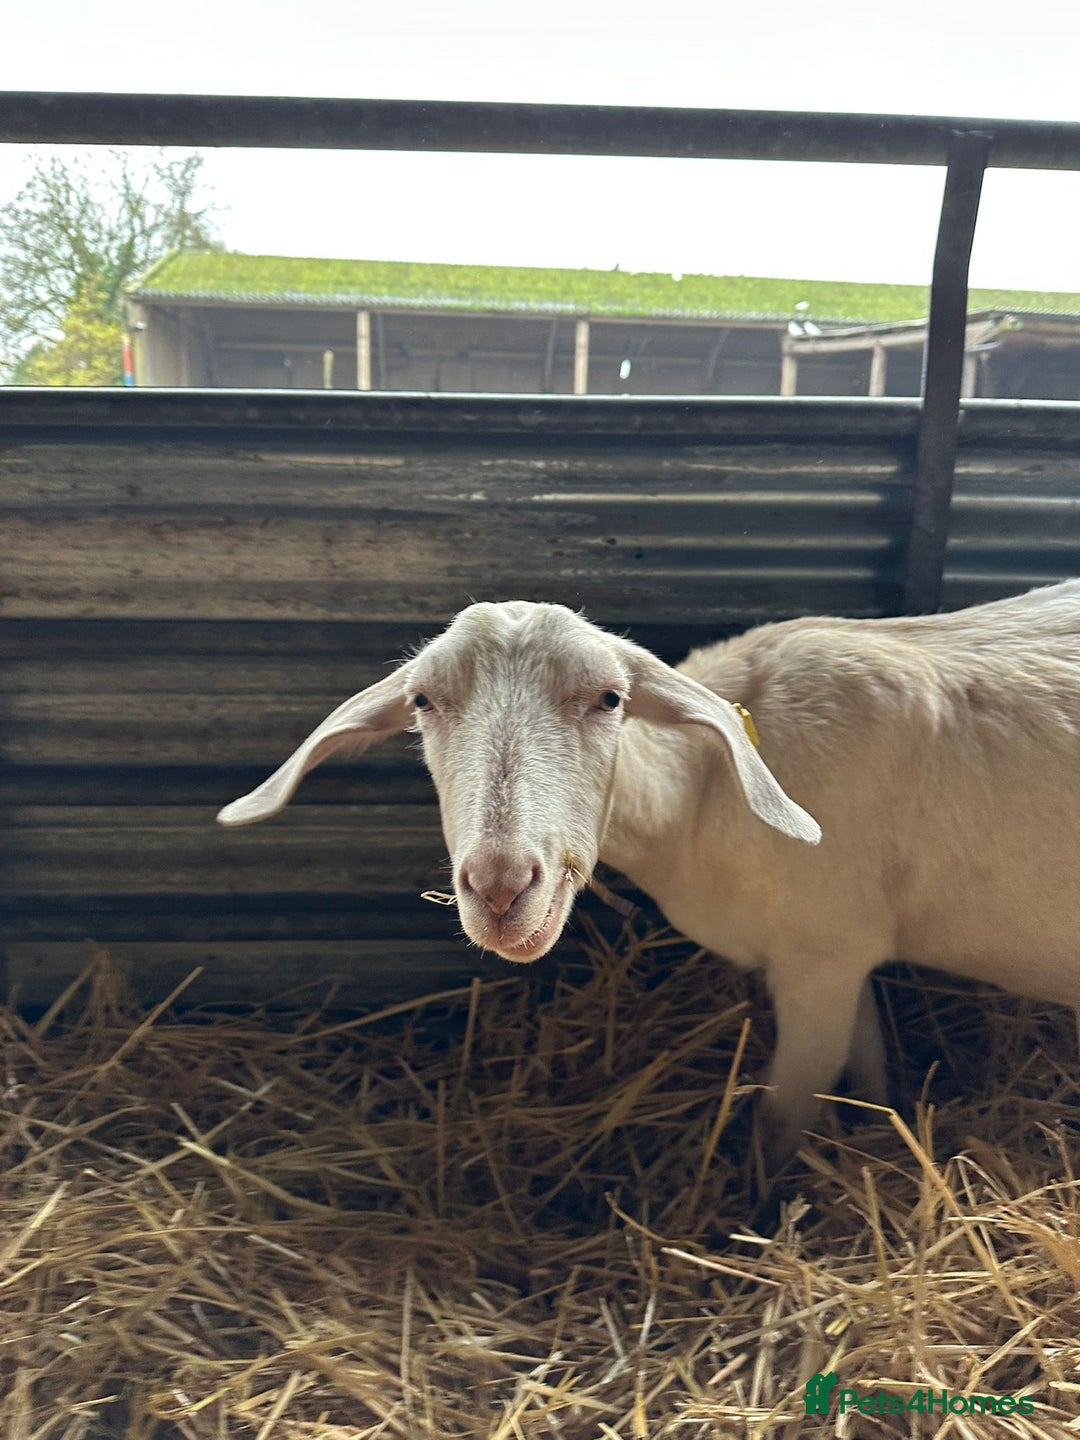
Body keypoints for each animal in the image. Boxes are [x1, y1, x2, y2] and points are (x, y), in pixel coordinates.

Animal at [219, 581, 1080, 1164]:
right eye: (424, 701)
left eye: (610, 698)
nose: (501, 887)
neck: (703, 792)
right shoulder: (843, 958)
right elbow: (868, 1077)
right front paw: (873, 1144)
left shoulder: (821, 960)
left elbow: (777, 1121)